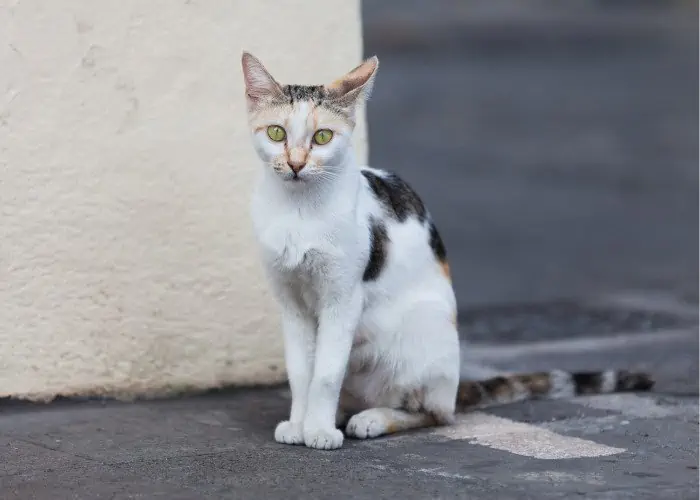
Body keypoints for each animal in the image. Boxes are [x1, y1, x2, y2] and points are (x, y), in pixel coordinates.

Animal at [238, 52, 652, 452]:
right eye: (276, 133)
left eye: (322, 137)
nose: (295, 164)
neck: (298, 210)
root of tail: (453, 389)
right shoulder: (292, 303)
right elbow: (301, 373)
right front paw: (300, 424)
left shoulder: (342, 298)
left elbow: (325, 374)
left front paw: (320, 431)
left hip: (420, 338)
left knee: (432, 413)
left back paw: (371, 419)